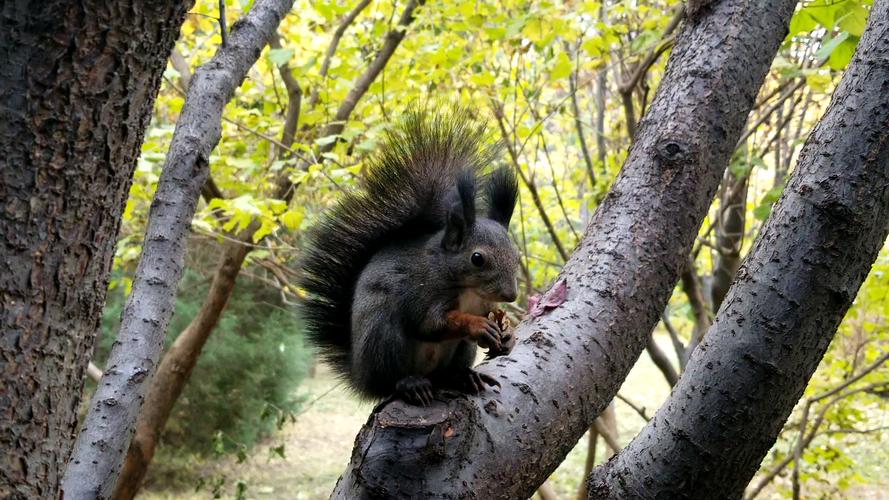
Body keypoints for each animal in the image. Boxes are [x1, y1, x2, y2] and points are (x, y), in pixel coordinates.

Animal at [298, 109, 520, 406]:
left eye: (516, 255)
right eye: (477, 258)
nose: (511, 295)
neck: (469, 290)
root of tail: (361, 376)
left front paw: (507, 329)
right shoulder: (423, 292)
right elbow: (431, 324)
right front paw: (477, 325)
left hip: (460, 351)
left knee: (448, 371)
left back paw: (464, 376)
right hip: (383, 335)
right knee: (390, 381)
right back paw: (410, 384)